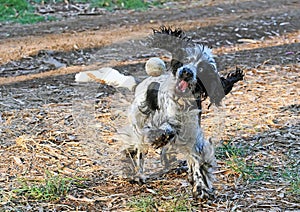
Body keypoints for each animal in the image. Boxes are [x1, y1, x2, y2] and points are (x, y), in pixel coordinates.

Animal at [118, 26, 244, 199]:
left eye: (202, 68)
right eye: (186, 58)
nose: (187, 72)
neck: (182, 101)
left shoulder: (193, 135)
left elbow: (197, 160)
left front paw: (201, 187)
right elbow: (166, 129)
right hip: (138, 123)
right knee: (139, 150)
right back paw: (138, 174)